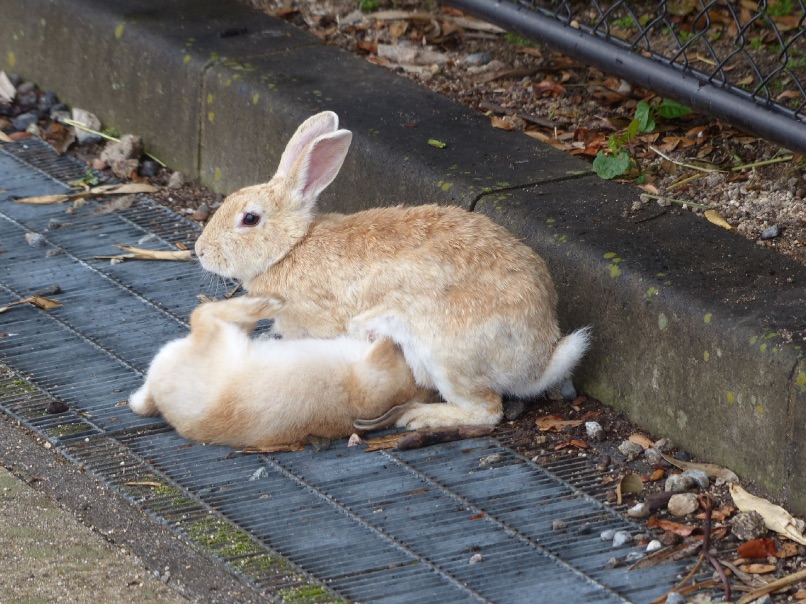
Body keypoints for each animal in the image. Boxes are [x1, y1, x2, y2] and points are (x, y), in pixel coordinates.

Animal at [193, 109, 592, 430]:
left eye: (249, 219)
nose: (200, 251)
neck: (292, 247)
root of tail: (538, 360)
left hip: (446, 354)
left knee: (487, 410)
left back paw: (421, 418)